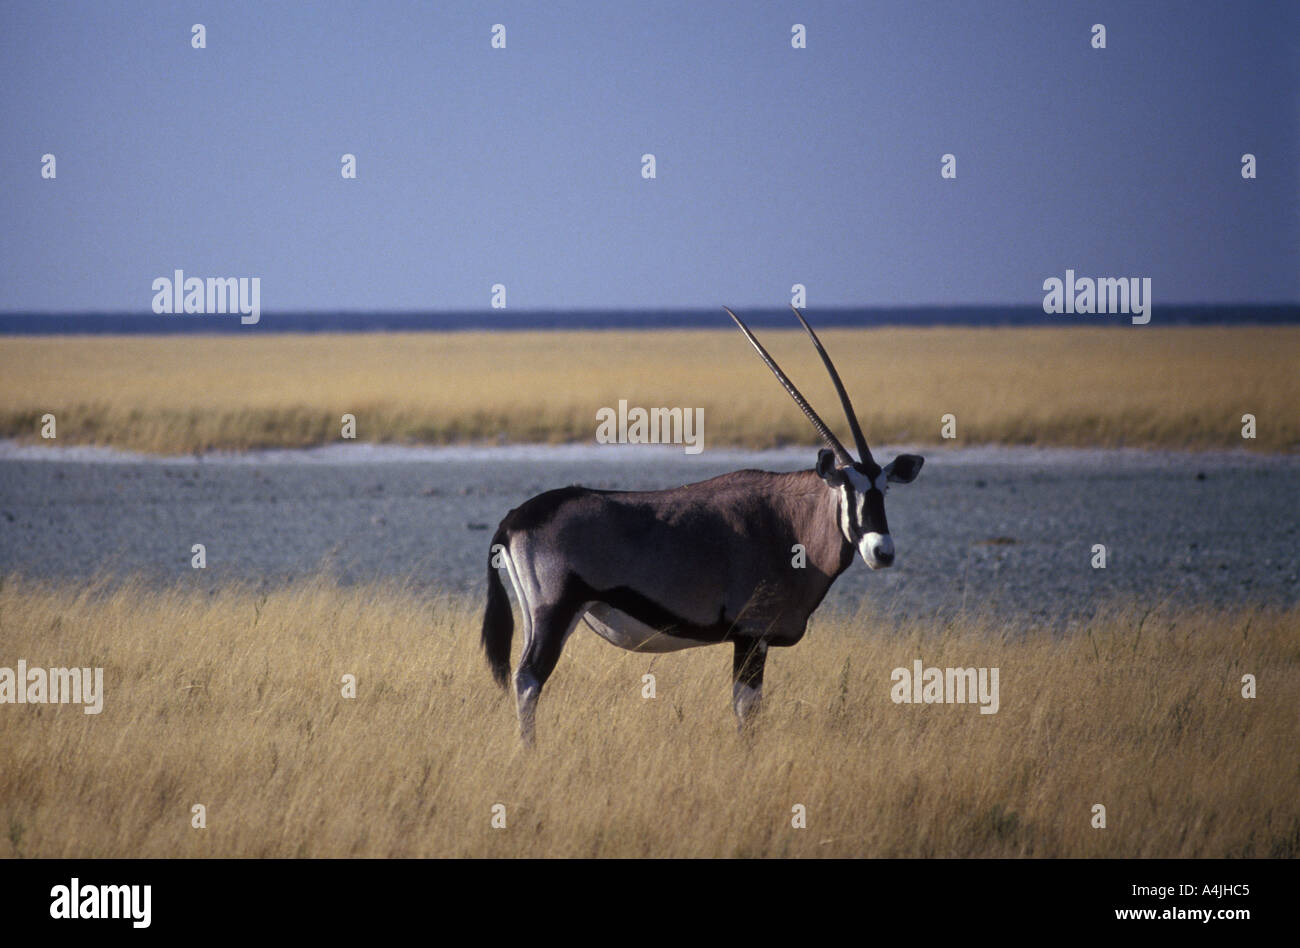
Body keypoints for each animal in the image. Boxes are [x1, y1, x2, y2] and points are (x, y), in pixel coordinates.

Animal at [480, 306, 925, 743]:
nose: (882, 551)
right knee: (528, 680)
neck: (789, 524)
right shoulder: (752, 634)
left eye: (884, 488)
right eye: (848, 488)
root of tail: (515, 517)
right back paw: (530, 750)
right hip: (554, 613)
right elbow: (747, 709)